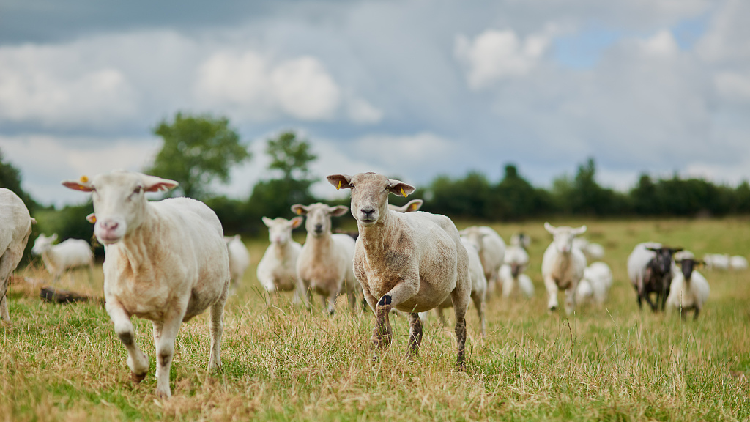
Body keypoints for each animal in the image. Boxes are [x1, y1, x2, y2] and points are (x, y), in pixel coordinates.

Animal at [62, 171, 231, 398]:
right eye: (94, 189)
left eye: (137, 189)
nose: (108, 226)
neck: (137, 258)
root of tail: (188, 199)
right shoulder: (113, 299)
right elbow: (125, 332)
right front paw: (139, 370)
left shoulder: (178, 304)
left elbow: (166, 350)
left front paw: (163, 393)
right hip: (158, 308)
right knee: (157, 336)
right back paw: (158, 372)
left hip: (221, 290)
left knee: (215, 328)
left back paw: (213, 366)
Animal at [327, 172, 471, 366]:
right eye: (352, 185)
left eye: (386, 188)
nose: (367, 211)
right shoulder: (368, 291)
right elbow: (385, 325)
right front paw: (377, 355)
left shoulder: (409, 282)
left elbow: (384, 305)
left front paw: (374, 353)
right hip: (414, 299)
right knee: (417, 327)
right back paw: (409, 360)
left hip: (461, 285)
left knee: (460, 327)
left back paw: (460, 365)